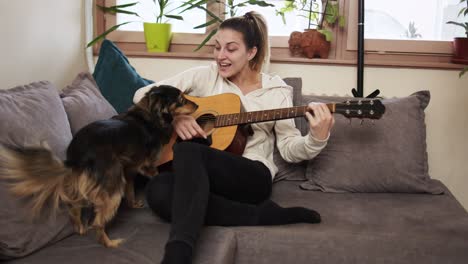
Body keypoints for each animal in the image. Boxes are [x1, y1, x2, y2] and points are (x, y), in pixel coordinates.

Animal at [0, 85, 196, 249]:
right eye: (181, 99)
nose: (195, 105)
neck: (150, 116)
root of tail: (77, 154)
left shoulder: (129, 170)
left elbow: (130, 190)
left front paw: (133, 204)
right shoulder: (147, 166)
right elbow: (153, 177)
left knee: (74, 205)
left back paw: (79, 227)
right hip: (112, 187)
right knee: (97, 222)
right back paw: (110, 243)